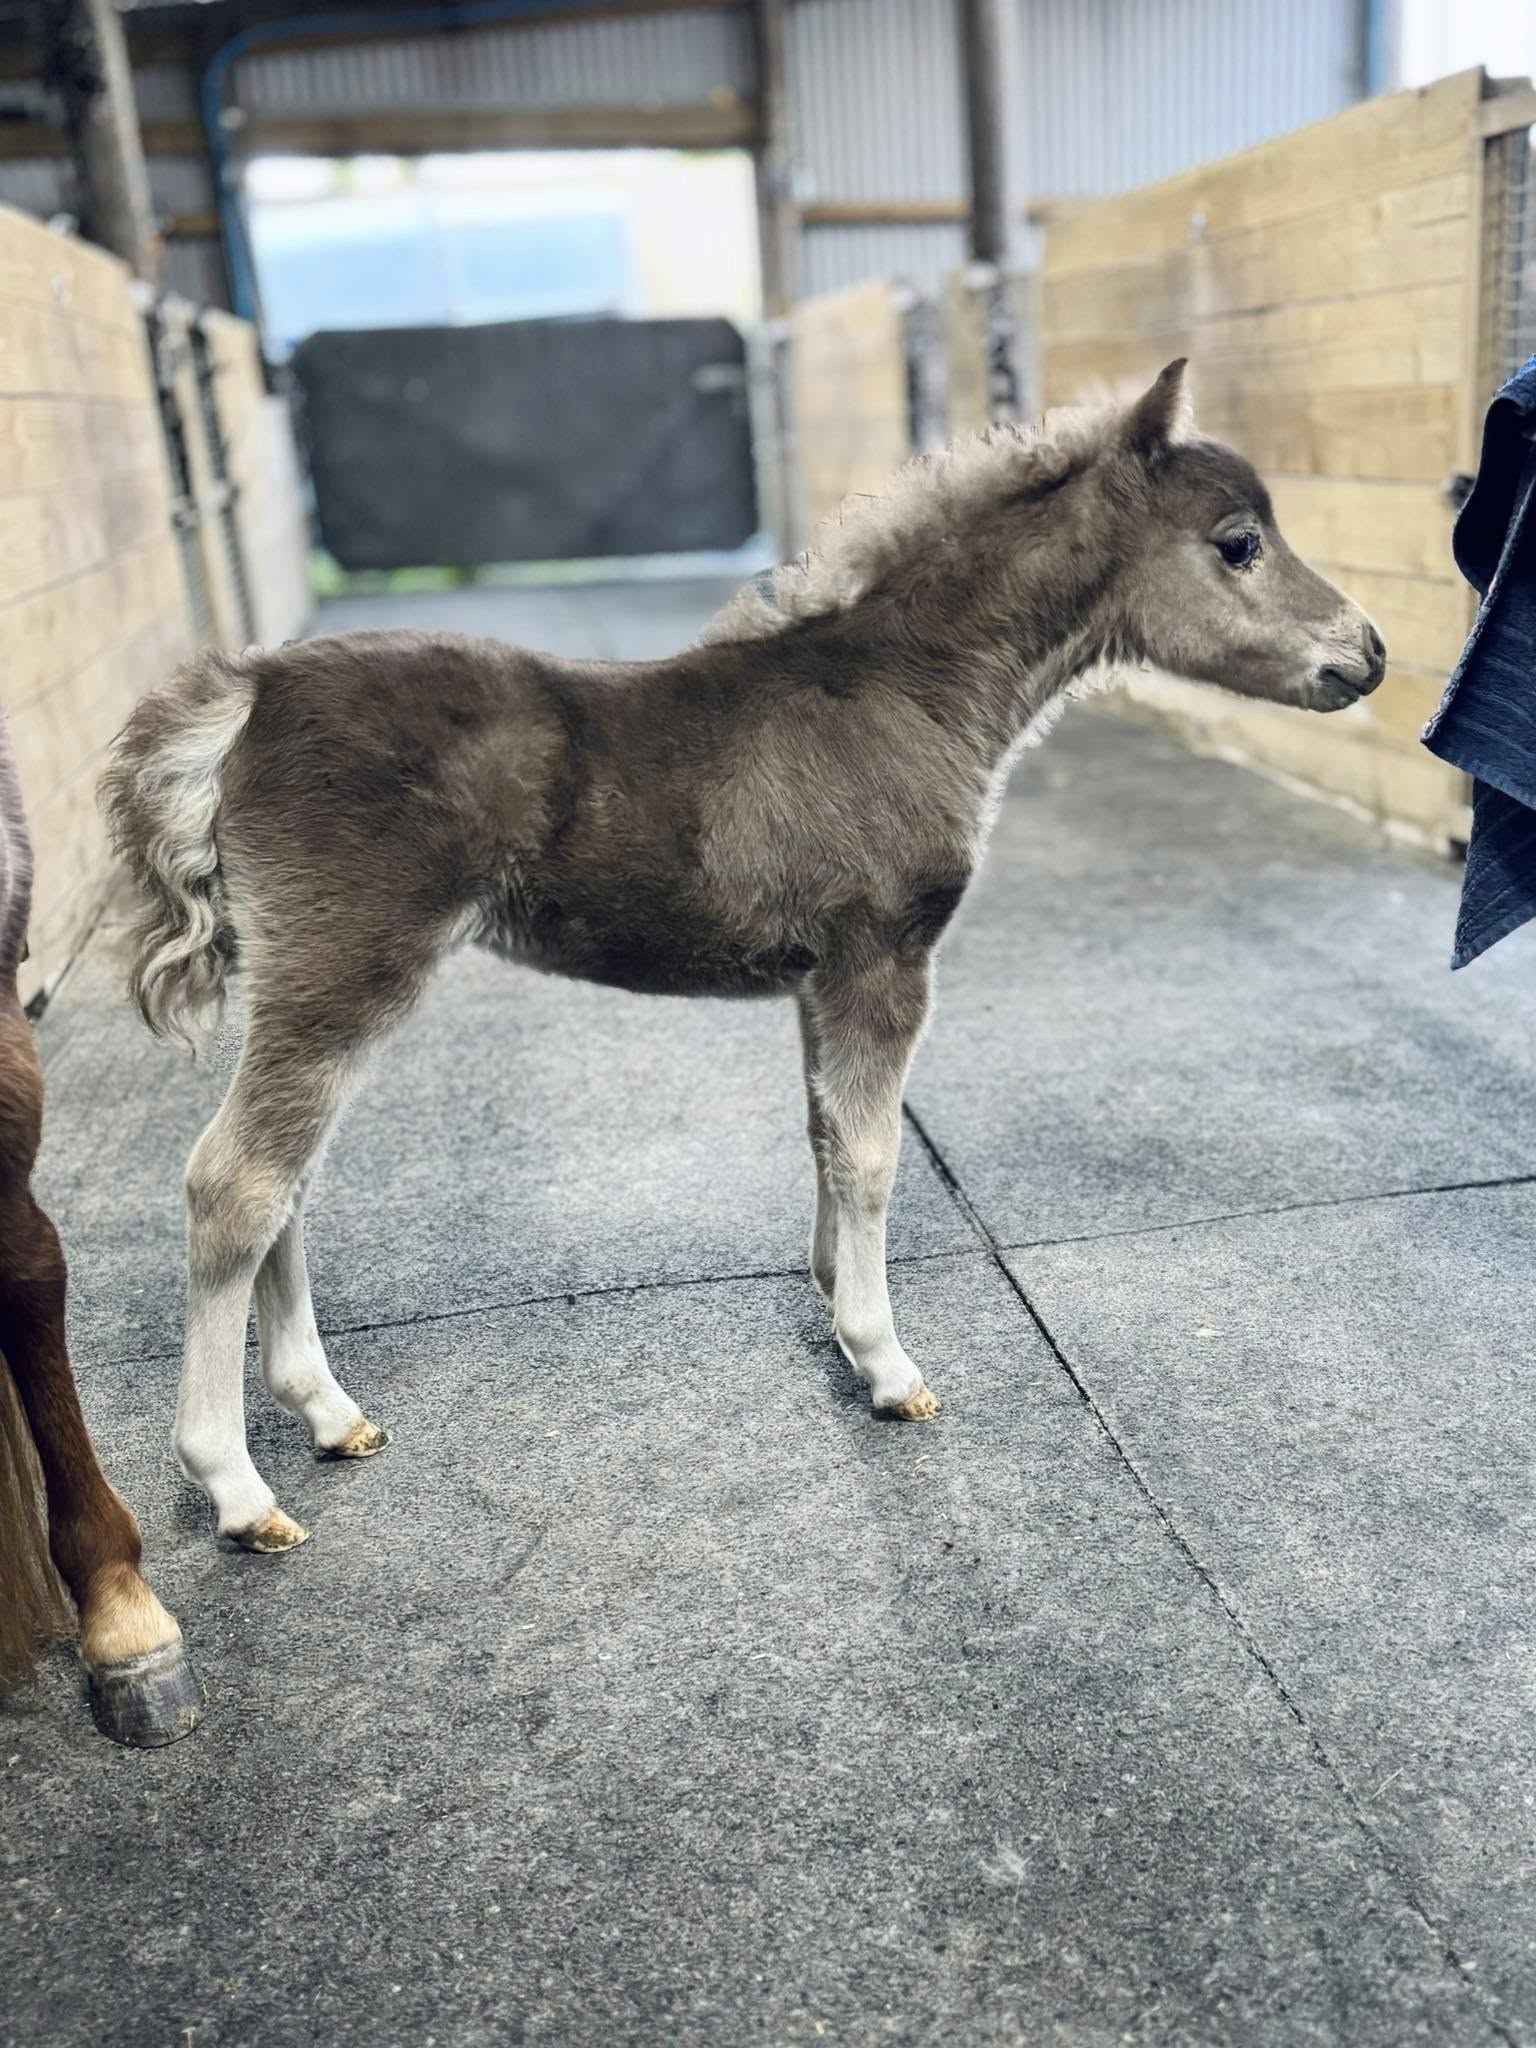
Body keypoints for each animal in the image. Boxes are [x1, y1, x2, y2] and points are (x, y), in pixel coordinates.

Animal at [101, 361, 1385, 1555]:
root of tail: (250, 688)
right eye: (1238, 542)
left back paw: (326, 1412)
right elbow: (873, 1155)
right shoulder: (882, 959)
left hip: (310, 984)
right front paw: (885, 1361)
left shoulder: (821, 972)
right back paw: (235, 1483)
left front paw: (836, 1311)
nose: (1366, 653)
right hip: (346, 970)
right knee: (237, 1182)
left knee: (286, 1184)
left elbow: (824, 1134)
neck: (903, 696)